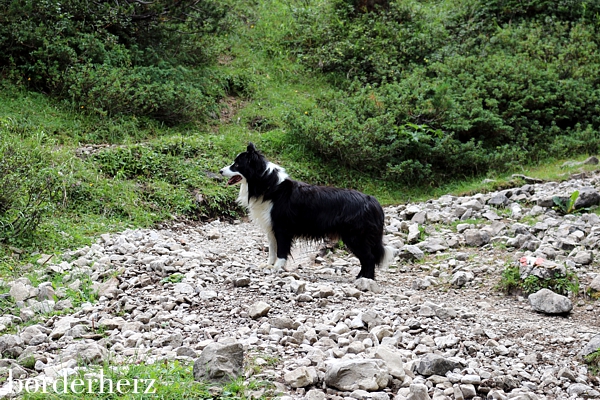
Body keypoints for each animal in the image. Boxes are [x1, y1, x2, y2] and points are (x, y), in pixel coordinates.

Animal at [220, 143, 394, 278]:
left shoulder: (282, 228)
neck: (266, 184)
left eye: (236, 165)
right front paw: (269, 265)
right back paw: (360, 277)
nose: (221, 171)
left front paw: (278, 268)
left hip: (355, 236)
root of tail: (373, 201)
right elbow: (272, 249)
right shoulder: (271, 228)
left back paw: (365, 280)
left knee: (369, 258)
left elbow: (281, 250)